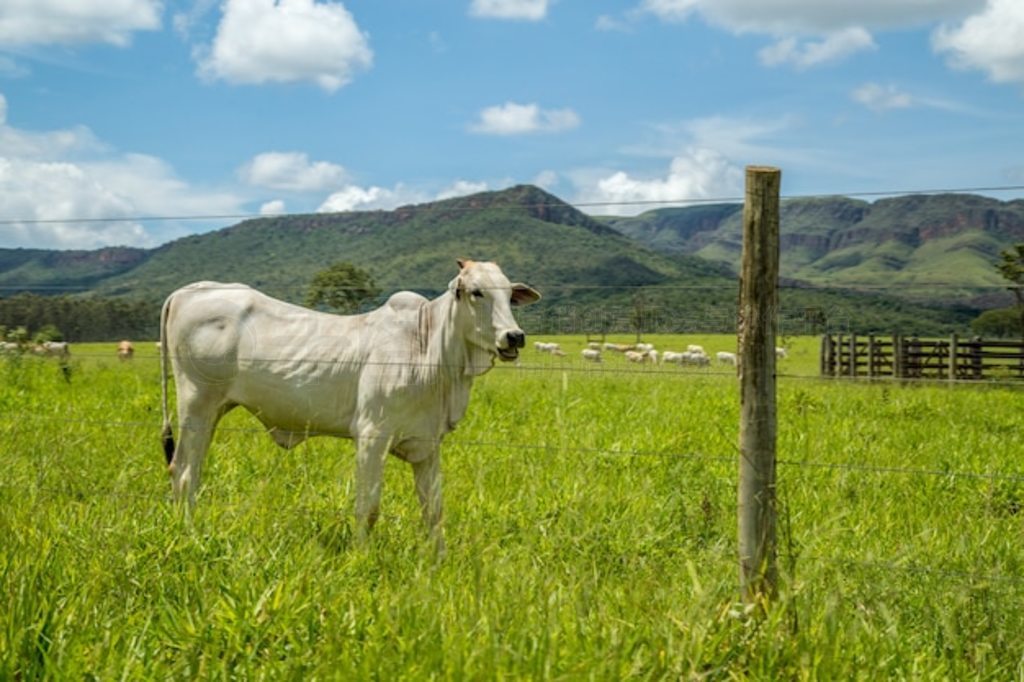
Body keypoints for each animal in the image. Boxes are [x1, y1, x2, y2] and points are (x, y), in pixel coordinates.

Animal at [159, 258, 540, 548]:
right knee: (185, 473)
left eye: (510, 295)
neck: (428, 349)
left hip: (214, 410)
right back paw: (188, 534)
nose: (515, 337)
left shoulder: (427, 443)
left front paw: (438, 559)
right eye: (476, 292)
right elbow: (367, 508)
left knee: (186, 471)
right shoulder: (372, 436)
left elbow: (433, 510)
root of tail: (185, 292)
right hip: (196, 405)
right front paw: (361, 555)